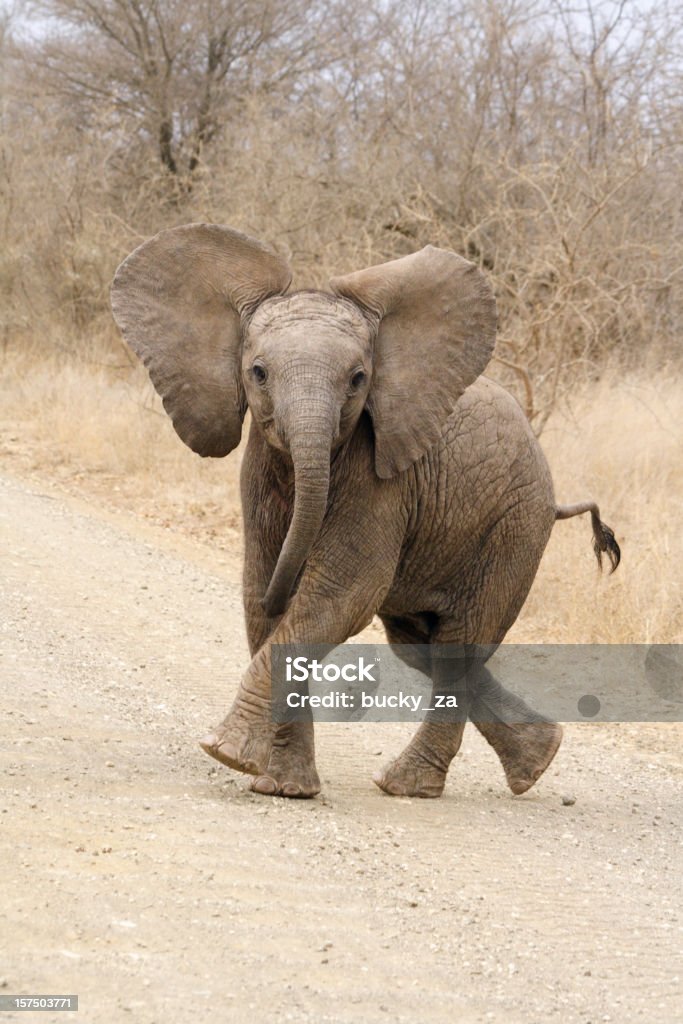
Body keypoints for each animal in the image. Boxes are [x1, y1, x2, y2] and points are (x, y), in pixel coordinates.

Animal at [111, 224, 618, 798]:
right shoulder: (259, 472)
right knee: (421, 646)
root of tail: (552, 496)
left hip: (512, 526)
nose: (283, 586)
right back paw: (537, 759)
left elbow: (339, 593)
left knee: (457, 647)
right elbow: (260, 594)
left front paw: (229, 753)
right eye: (258, 373)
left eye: (358, 379)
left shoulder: (382, 482)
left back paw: (407, 785)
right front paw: (284, 788)